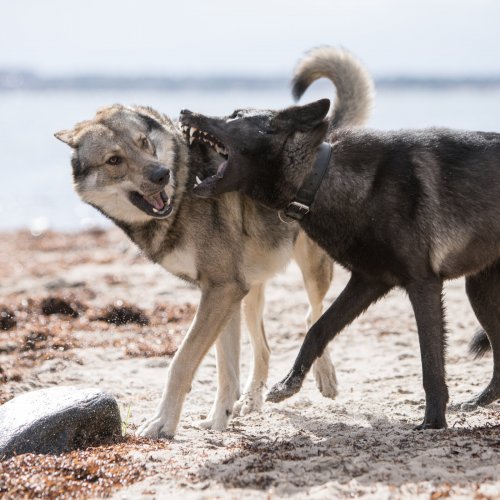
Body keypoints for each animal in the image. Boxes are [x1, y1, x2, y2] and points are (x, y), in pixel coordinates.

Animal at [180, 47, 500, 430]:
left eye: (235, 116)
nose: (184, 111)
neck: (319, 177)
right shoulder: (368, 281)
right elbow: (317, 329)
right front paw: (288, 385)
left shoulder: (422, 284)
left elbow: (430, 362)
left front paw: (433, 422)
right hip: (480, 293)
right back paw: (480, 401)